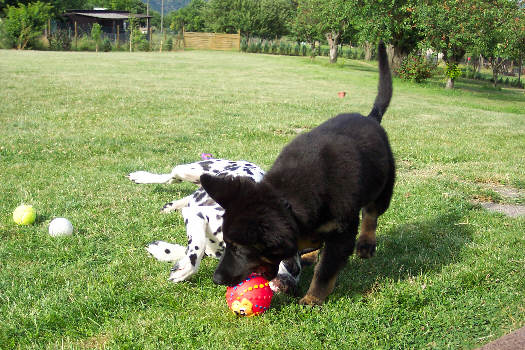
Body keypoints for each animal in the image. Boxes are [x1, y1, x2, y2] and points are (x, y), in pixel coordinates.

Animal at [127, 157, 302, 294]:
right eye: (287, 262)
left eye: (297, 271)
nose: (291, 287)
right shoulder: (197, 215)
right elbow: (197, 247)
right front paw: (185, 268)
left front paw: (164, 251)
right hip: (189, 171)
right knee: (172, 177)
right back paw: (141, 176)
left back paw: (172, 205)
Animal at [201, 40, 392, 304]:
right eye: (226, 244)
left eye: (239, 248)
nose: (216, 279)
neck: (287, 199)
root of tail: (371, 117)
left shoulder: (342, 231)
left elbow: (326, 270)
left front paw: (312, 299)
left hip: (384, 186)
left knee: (371, 214)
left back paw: (365, 244)